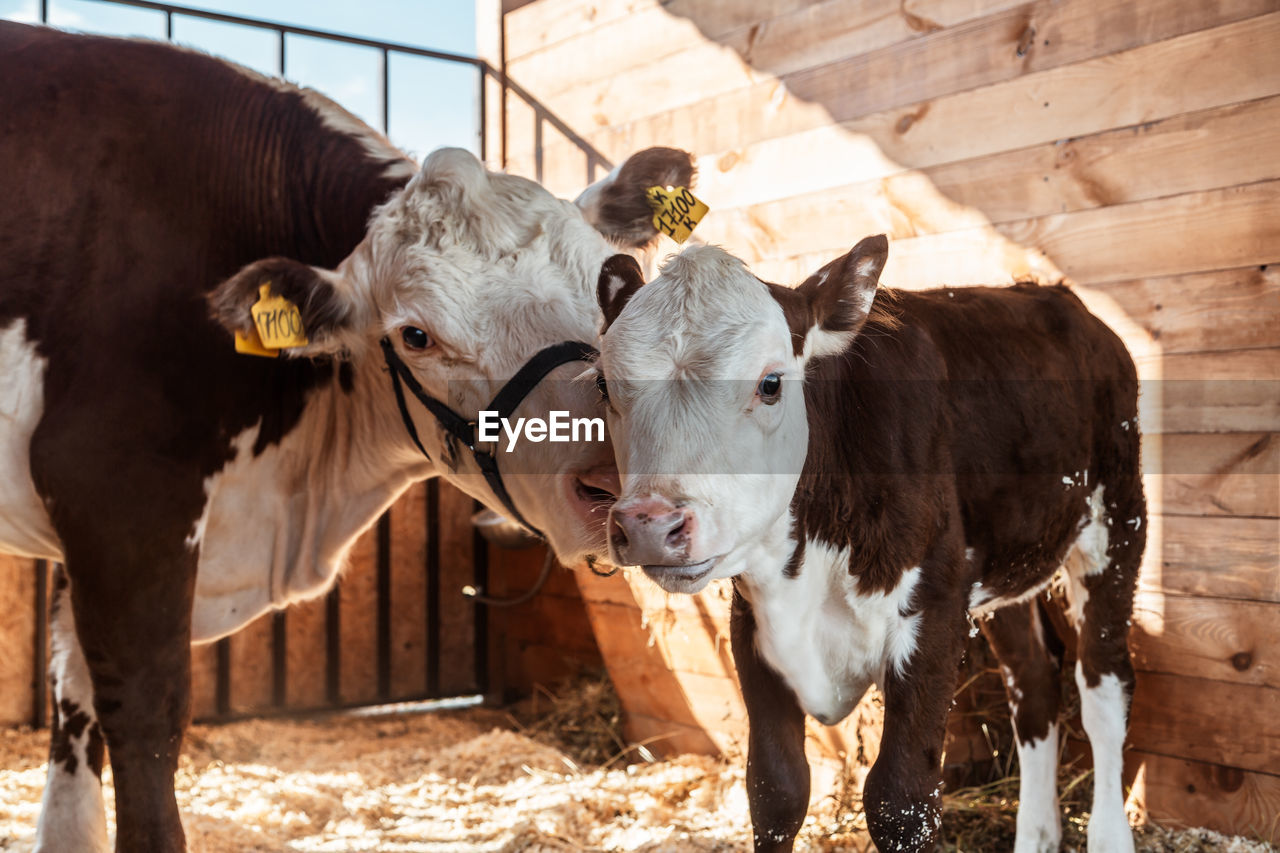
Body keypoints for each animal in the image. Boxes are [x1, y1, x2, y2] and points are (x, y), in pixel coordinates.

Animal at [0, 21, 696, 850]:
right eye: (416, 334)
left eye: (615, 282)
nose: (618, 480)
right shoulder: (116, 494)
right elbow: (143, 717)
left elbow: (72, 699)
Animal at [593, 236, 1146, 850]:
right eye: (604, 385)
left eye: (770, 383)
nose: (649, 524)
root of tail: (1059, 298)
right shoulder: (752, 626)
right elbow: (775, 790)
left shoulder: (935, 614)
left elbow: (900, 803)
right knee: (1034, 682)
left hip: (1117, 522)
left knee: (1104, 686)